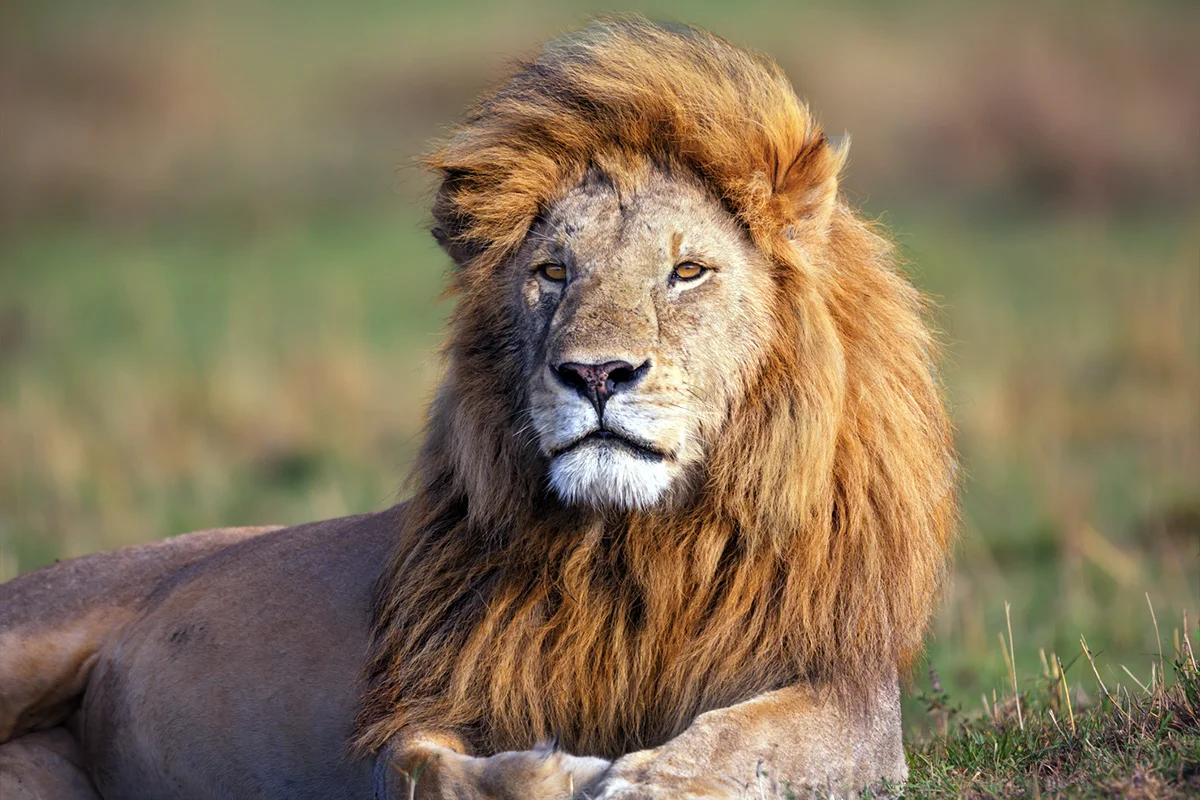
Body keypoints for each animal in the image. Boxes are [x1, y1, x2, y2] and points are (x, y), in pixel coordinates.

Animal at [0, 18, 957, 799]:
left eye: (687, 272)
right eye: (553, 272)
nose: (596, 374)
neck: (633, 548)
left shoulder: (847, 690)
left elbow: (745, 740)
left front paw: (646, 780)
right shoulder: (423, 696)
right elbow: (432, 768)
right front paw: (562, 772)